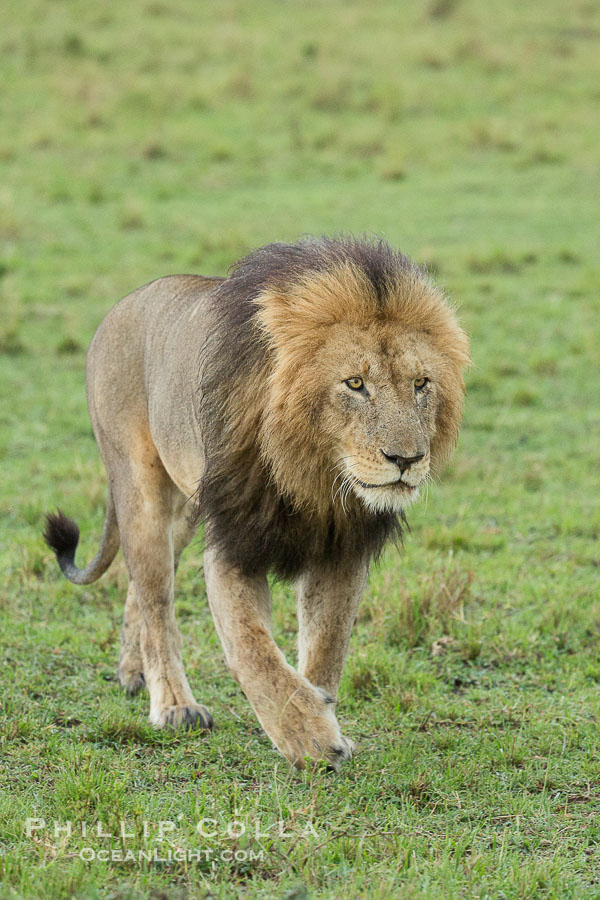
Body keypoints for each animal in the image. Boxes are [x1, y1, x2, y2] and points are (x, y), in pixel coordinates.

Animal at [44, 236, 470, 769]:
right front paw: (310, 738)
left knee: (140, 586)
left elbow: (327, 645)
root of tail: (123, 305)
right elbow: (253, 652)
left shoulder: (342, 550)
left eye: (420, 384)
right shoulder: (233, 544)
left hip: (188, 510)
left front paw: (321, 707)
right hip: (140, 490)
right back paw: (174, 705)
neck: (315, 475)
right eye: (355, 384)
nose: (407, 459)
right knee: (157, 599)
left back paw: (132, 672)